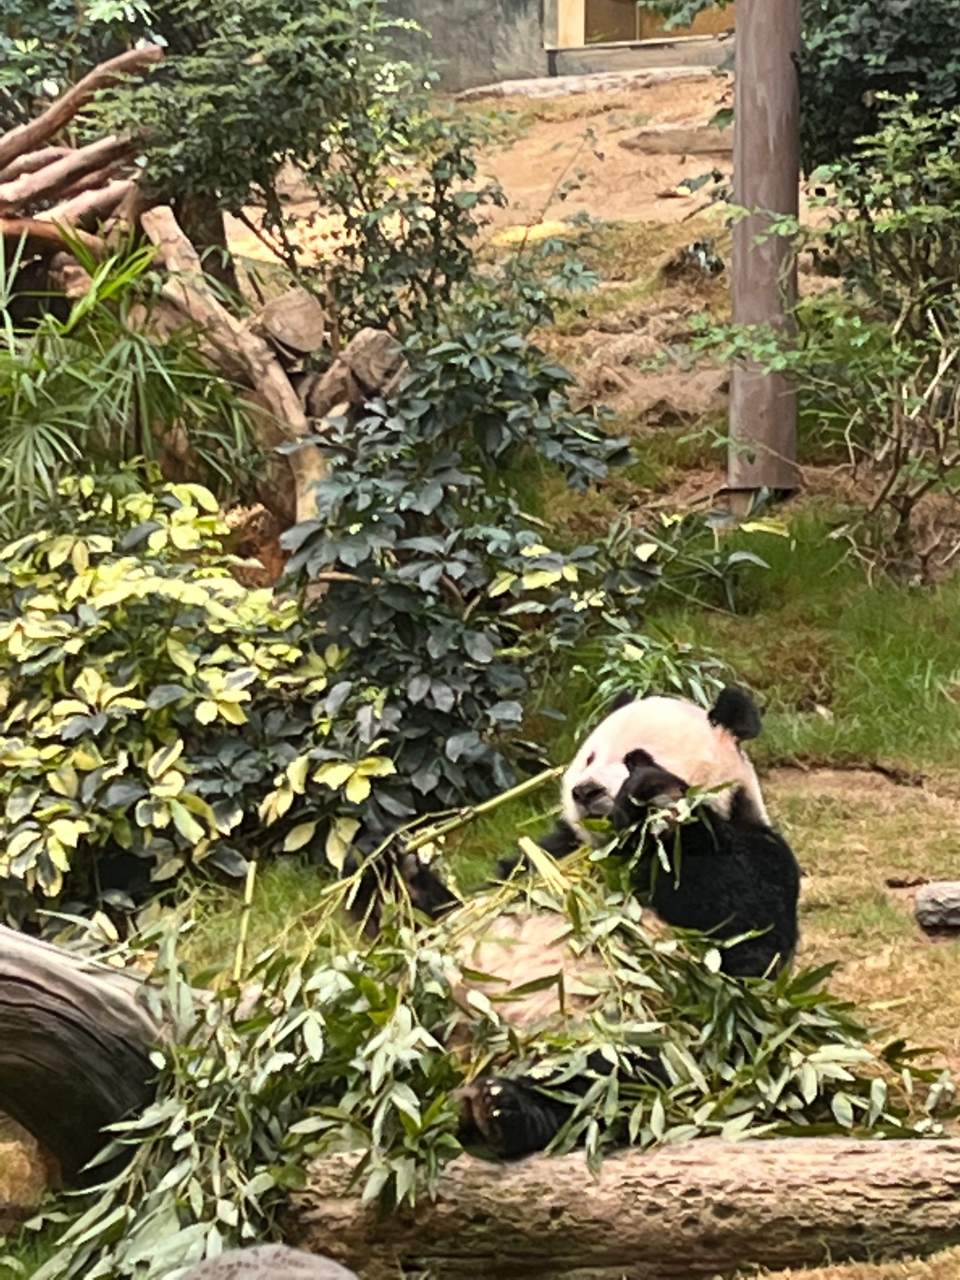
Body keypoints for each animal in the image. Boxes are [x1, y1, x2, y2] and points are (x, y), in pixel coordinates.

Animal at [344, 685, 801, 1159]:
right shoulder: (545, 855)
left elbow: (733, 916)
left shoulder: (757, 855)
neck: (606, 848)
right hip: (411, 1020)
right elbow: (443, 920)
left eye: (637, 758)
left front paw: (653, 802)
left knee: (608, 1071)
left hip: (632, 1028)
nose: (585, 790)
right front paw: (383, 861)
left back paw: (504, 1109)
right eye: (590, 757)